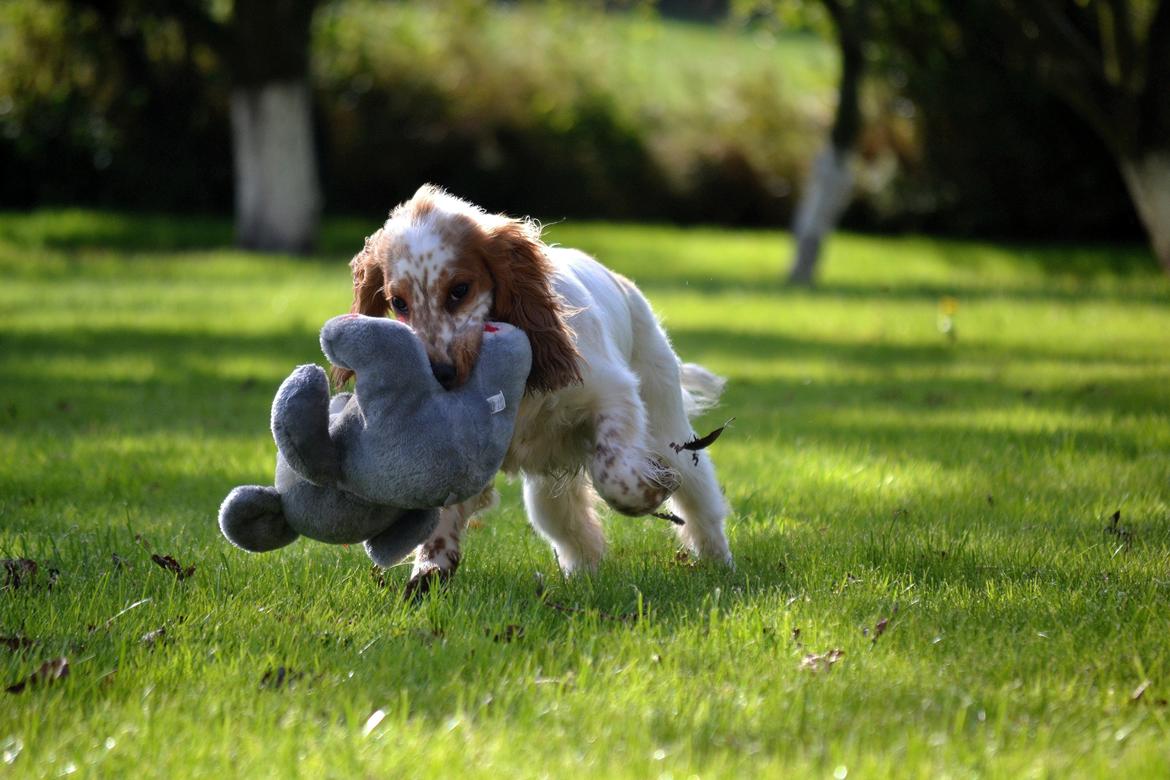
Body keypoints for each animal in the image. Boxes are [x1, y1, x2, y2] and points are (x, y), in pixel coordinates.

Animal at [334, 185, 725, 594]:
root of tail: (622, 282)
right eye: (398, 303)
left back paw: (718, 563)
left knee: (700, 501)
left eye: (460, 290)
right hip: (546, 493)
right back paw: (580, 576)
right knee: (575, 531)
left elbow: (615, 478)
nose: (438, 374)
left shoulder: (612, 393)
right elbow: (443, 518)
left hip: (669, 430)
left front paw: (652, 489)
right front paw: (428, 576)